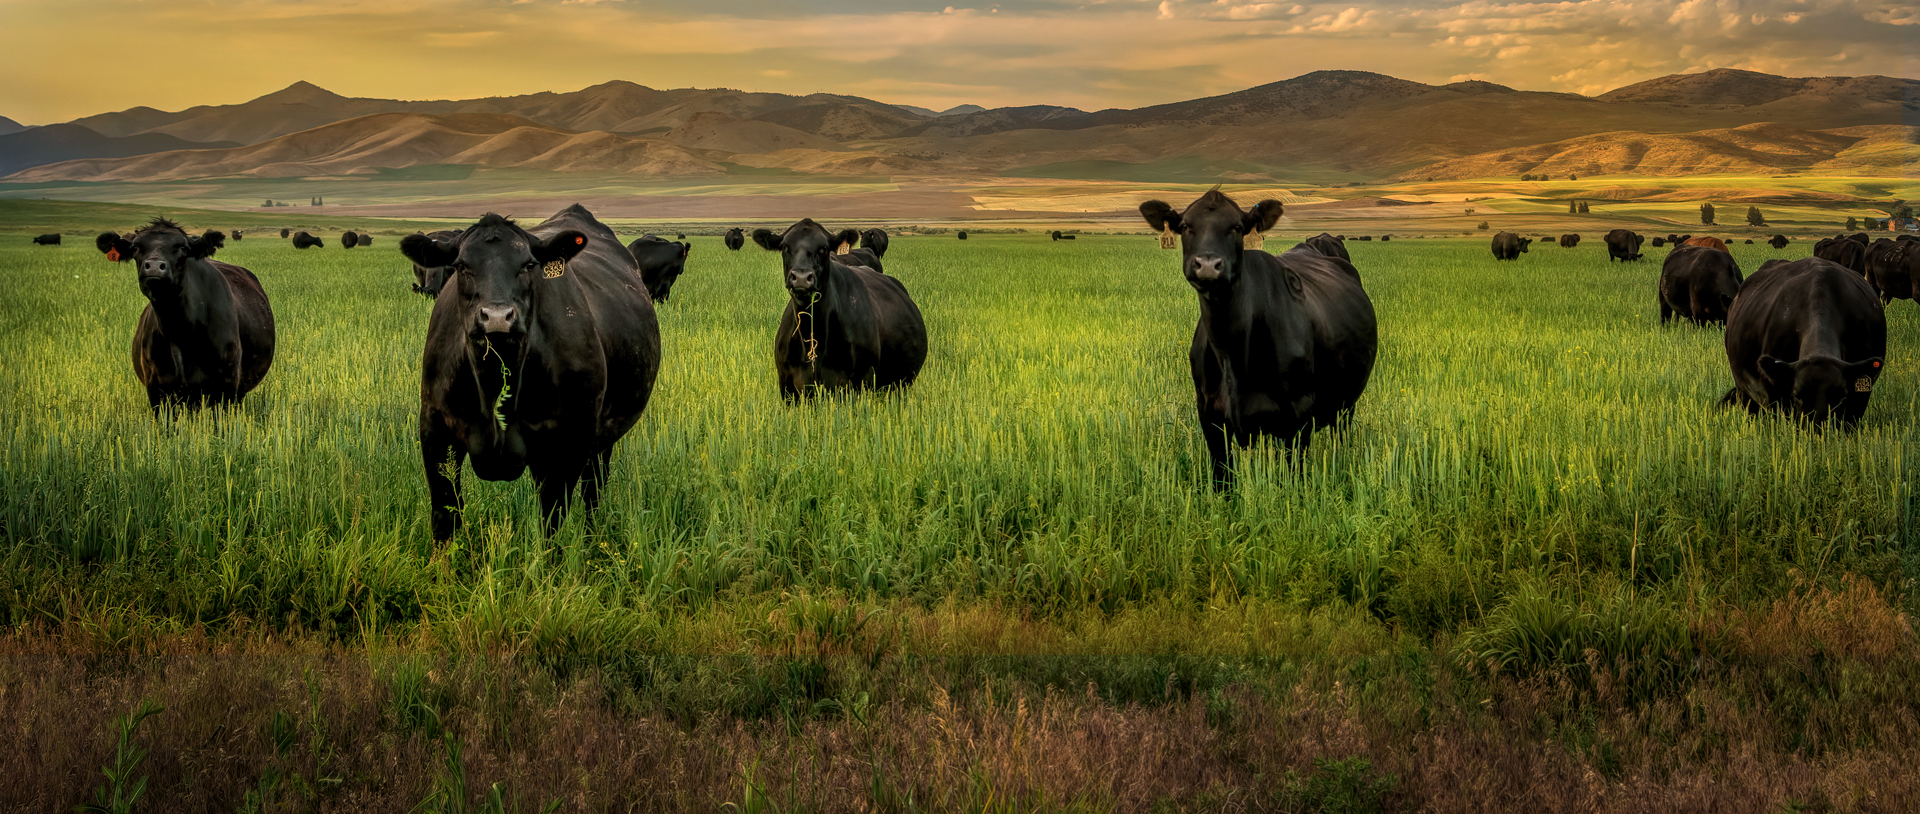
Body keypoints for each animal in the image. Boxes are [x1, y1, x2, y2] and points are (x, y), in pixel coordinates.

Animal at [95, 219, 275, 412]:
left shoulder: (226, 387)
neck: (180, 332)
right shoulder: (157, 389)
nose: (155, 266)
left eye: (182, 247)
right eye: (136, 247)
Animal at [400, 204, 660, 541]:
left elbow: (553, 524)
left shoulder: (569, 441)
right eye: (461, 266)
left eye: (528, 265)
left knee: (593, 491)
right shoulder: (435, 430)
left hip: (601, 437)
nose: (497, 317)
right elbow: (445, 519)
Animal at [753, 219, 927, 402]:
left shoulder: (856, 384)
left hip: (898, 385)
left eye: (823, 248)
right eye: (785, 246)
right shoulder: (787, 387)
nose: (801, 277)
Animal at [1138, 190, 1376, 489]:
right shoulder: (1210, 417)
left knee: (1340, 438)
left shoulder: (1298, 418)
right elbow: (1223, 482)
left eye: (1237, 227)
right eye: (1185, 226)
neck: (1233, 355)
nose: (1208, 265)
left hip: (1346, 404)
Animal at [1721, 257, 1885, 425]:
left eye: (1840, 398)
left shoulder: (1860, 397)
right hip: (1744, 391)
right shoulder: (1775, 393)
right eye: (1798, 396)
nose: (1818, 426)